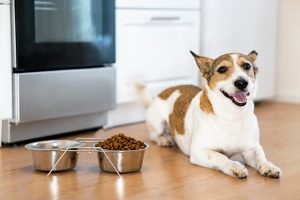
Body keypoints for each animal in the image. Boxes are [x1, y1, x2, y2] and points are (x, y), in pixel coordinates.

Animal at [136, 50, 282, 179]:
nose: (241, 83)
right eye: (222, 69)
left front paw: (268, 166)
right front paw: (235, 166)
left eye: (247, 66)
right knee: (153, 135)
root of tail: (161, 94)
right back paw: (164, 139)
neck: (231, 115)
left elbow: (260, 157)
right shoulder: (199, 151)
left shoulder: (251, 148)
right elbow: (221, 156)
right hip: (158, 123)